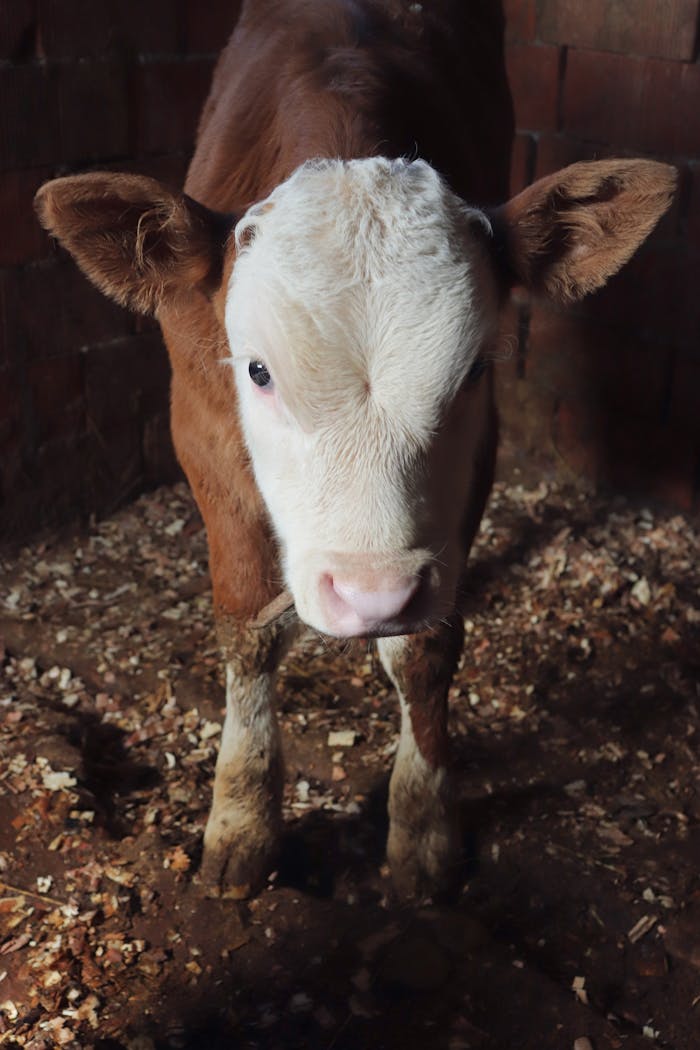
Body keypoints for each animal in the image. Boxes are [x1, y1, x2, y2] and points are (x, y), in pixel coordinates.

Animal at [34, 0, 676, 901]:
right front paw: (241, 822)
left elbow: (426, 649)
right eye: (257, 370)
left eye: (473, 369)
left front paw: (424, 826)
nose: (373, 595)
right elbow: (248, 628)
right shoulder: (198, 427)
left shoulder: (478, 459)